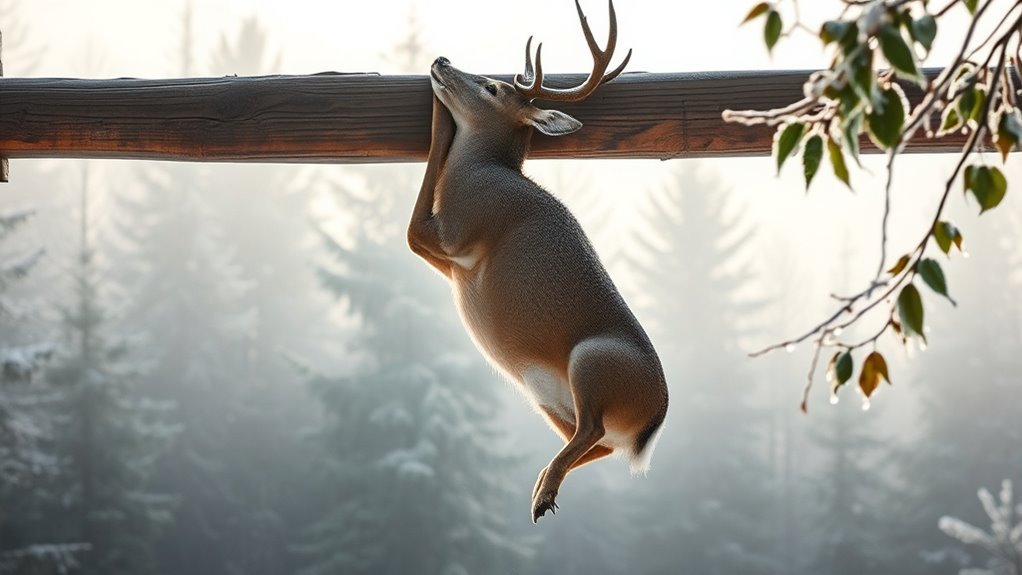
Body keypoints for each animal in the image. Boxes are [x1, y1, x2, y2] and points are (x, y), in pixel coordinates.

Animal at [407, 0, 668, 523]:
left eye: (492, 86)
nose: (443, 60)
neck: (482, 170)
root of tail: (652, 423)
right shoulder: (448, 262)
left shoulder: (455, 233)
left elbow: (413, 220)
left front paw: (439, 111)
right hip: (544, 395)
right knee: (595, 442)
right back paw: (541, 487)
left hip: (590, 360)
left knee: (593, 431)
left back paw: (543, 494)